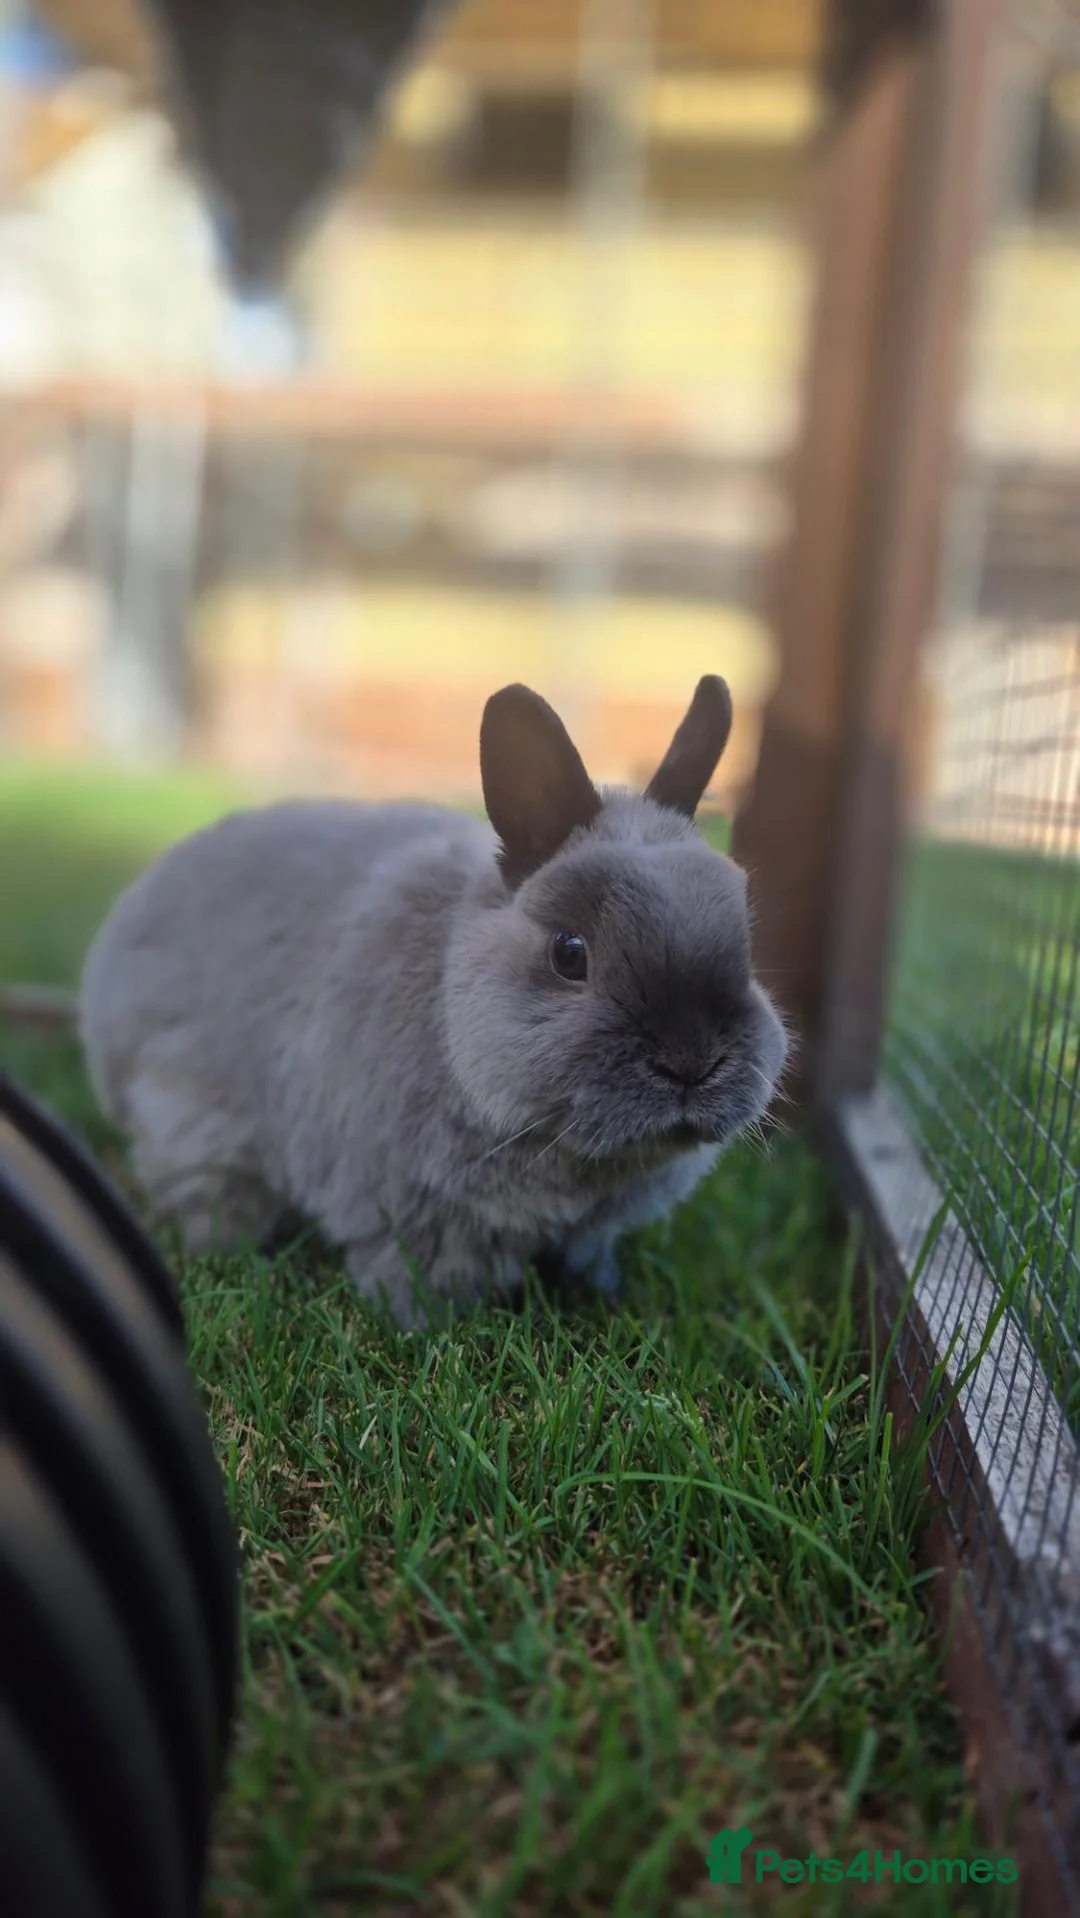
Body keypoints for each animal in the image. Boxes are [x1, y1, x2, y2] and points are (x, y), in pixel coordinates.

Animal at [79, 676, 787, 1329]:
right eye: (569, 954)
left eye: (746, 940)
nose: (692, 1061)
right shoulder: (409, 1217)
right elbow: (412, 1275)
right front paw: (422, 1328)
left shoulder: (590, 1228)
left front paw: (600, 1293)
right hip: (191, 1120)